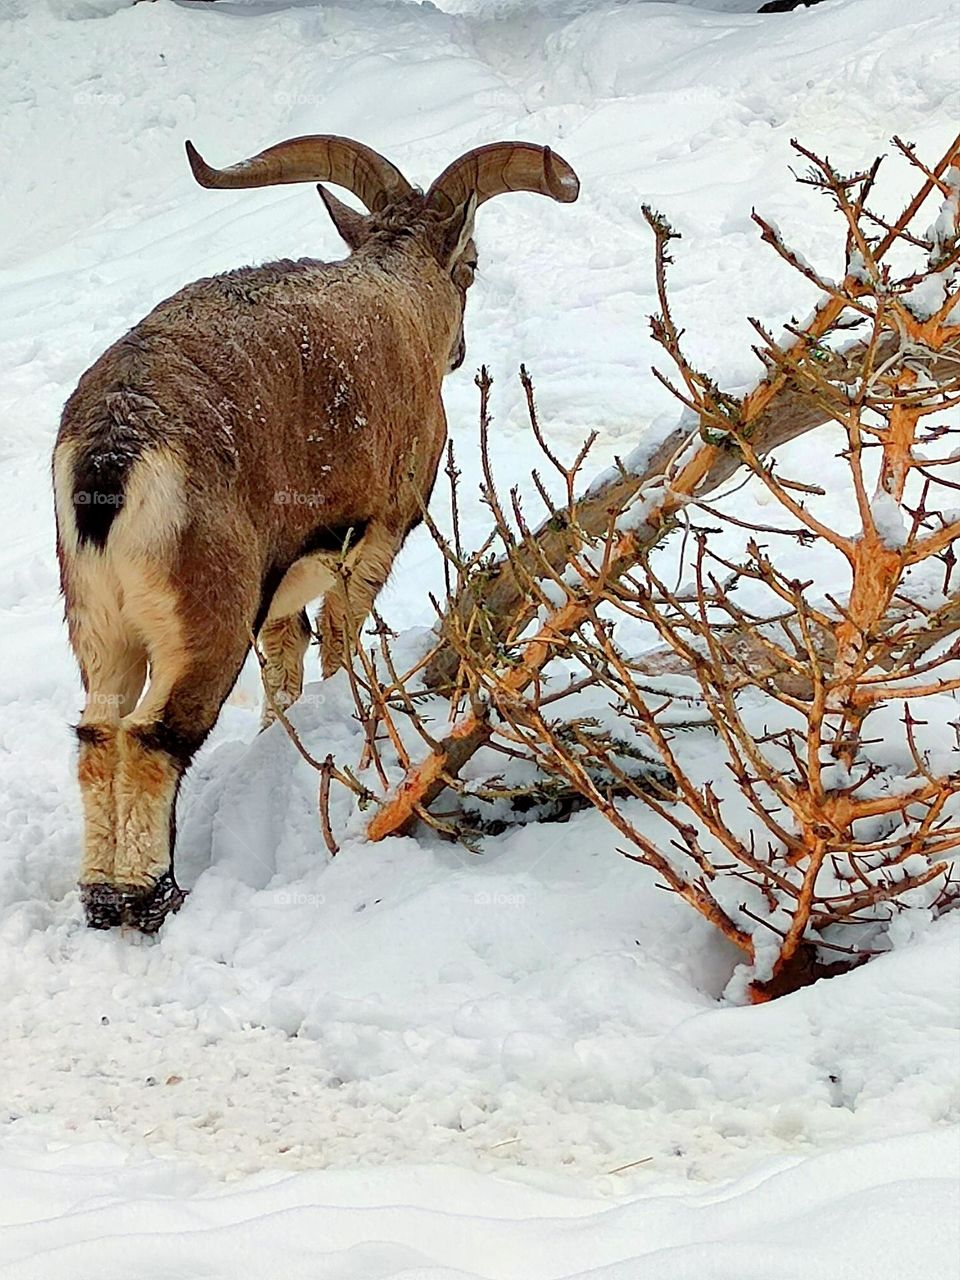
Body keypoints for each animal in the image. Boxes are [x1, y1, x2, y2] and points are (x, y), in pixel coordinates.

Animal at [53, 133, 579, 931]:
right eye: (472, 265)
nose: (459, 352)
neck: (398, 294)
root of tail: (113, 451)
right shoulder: (381, 526)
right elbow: (339, 635)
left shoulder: (282, 585)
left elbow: (285, 661)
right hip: (205, 613)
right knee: (151, 738)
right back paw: (149, 896)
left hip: (99, 619)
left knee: (97, 731)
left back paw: (102, 894)